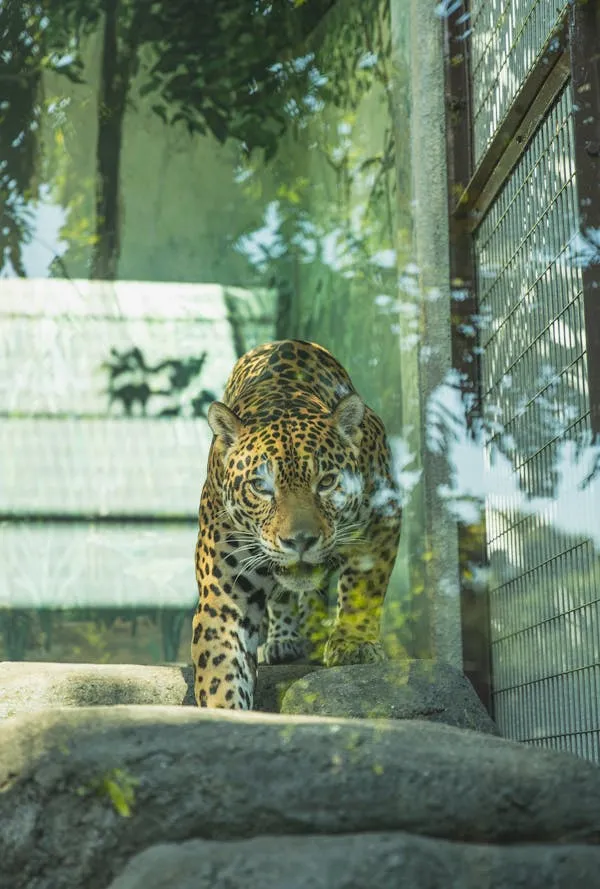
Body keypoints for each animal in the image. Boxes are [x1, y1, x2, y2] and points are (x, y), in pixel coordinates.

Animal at [191, 339, 402, 709]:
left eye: (327, 482)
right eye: (261, 486)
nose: (300, 541)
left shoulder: (384, 517)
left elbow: (364, 586)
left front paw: (354, 646)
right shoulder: (225, 592)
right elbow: (221, 669)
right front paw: (224, 713)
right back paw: (284, 639)